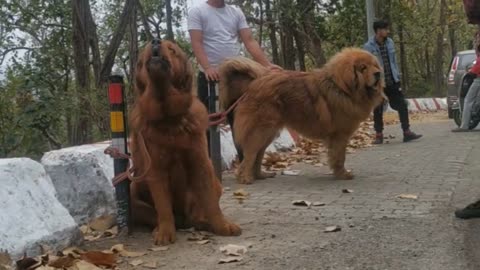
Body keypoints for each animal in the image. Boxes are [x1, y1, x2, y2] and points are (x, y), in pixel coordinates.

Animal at [128, 39, 240, 245]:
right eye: (145, 50)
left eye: (172, 49)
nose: (155, 40)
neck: (169, 119)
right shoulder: (156, 169)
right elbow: (163, 206)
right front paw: (165, 232)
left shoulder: (200, 162)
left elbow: (212, 204)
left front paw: (222, 226)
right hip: (132, 195)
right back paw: (159, 228)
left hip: (215, 185)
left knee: (198, 214)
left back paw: (204, 223)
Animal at [219, 47, 384, 185]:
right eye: (363, 68)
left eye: (374, 65)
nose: (378, 73)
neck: (341, 87)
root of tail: (254, 83)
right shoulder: (339, 135)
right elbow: (339, 157)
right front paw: (342, 174)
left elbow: (337, 157)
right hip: (260, 132)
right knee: (249, 156)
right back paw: (245, 178)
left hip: (267, 133)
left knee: (258, 155)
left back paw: (260, 175)